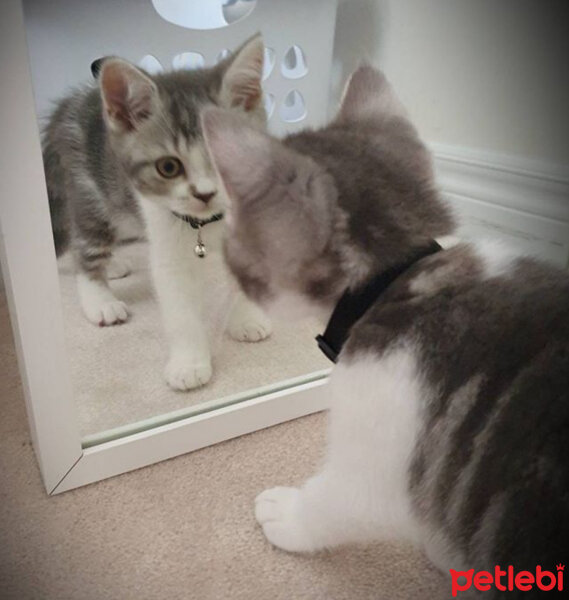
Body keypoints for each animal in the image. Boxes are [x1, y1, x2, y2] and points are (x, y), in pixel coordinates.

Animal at [41, 34, 270, 390]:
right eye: (168, 167)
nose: (205, 193)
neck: (207, 225)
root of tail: (69, 105)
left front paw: (247, 319)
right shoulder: (166, 247)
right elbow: (179, 310)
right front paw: (189, 364)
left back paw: (114, 266)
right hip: (92, 192)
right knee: (86, 245)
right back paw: (100, 300)